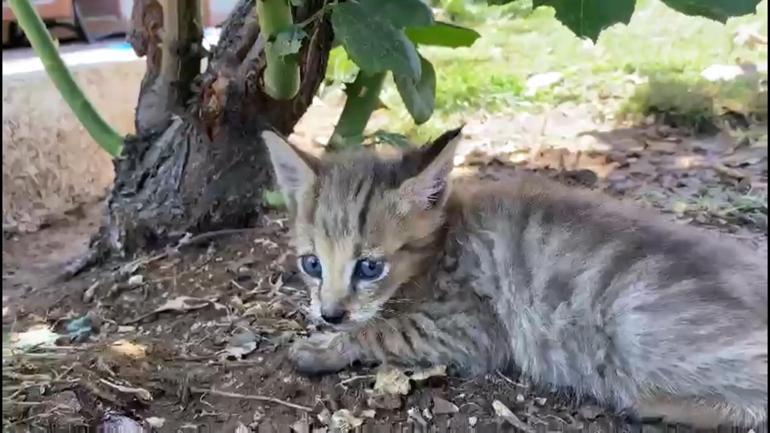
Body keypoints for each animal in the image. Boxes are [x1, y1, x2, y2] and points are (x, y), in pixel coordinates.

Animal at [260, 126, 764, 426]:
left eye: (370, 267)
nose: (331, 313)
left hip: (636, 324)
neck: (441, 248)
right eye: (311, 264)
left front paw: (324, 347)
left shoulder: (469, 327)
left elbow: (384, 331)